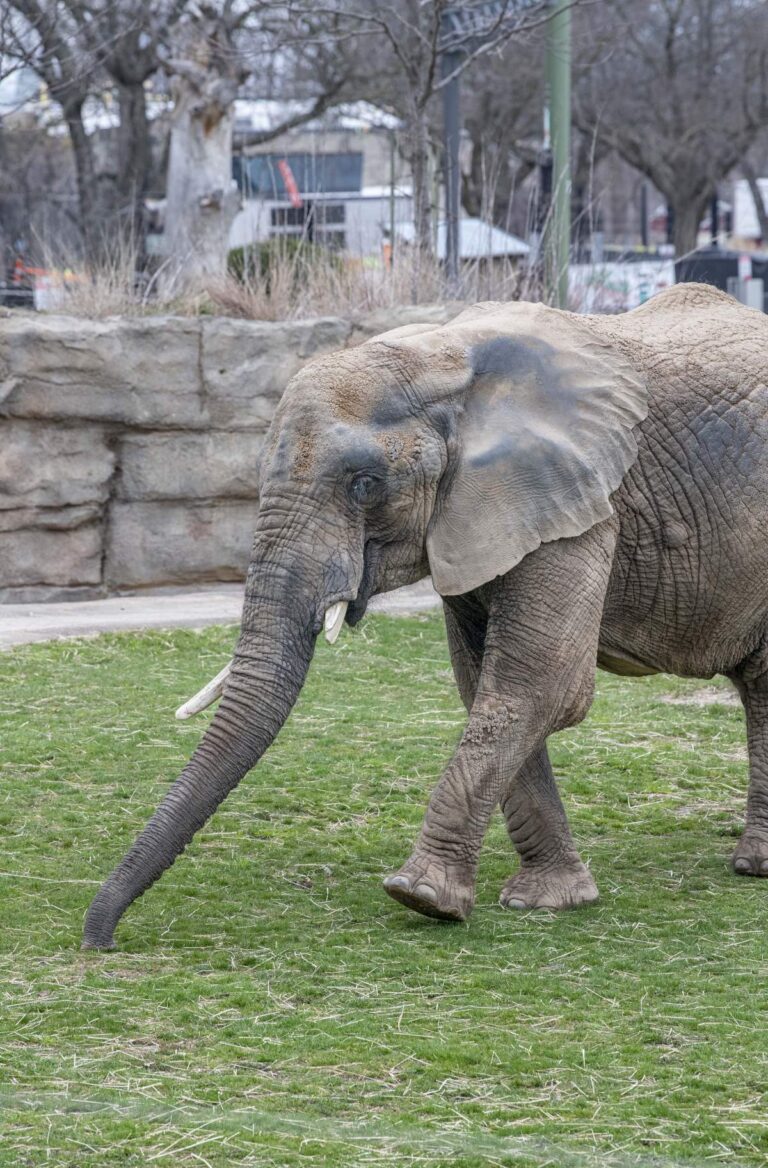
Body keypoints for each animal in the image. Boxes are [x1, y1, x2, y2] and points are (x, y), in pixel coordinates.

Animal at [82, 281, 768, 949]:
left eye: (363, 484)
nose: (100, 941)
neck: (441, 359)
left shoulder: (581, 502)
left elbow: (541, 687)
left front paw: (421, 898)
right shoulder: (483, 512)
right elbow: (484, 686)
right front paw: (547, 900)